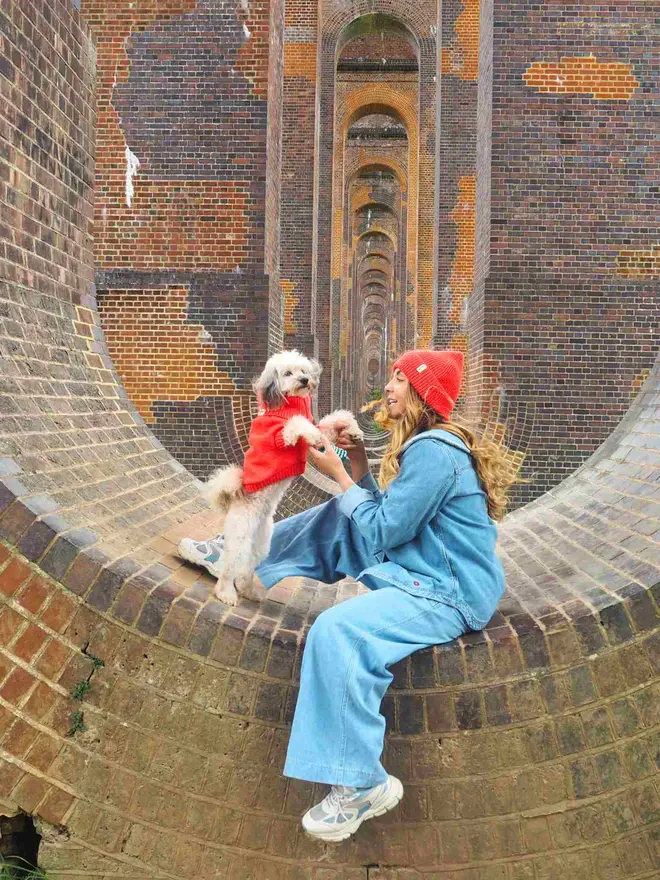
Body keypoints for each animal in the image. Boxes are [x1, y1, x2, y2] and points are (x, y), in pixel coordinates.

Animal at [205, 350, 360, 604]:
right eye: (287, 373)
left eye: (303, 371)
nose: (305, 380)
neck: (287, 403)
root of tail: (236, 495)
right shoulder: (282, 436)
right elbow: (297, 424)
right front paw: (314, 436)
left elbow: (334, 419)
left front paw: (353, 429)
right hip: (240, 536)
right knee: (230, 566)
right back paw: (226, 593)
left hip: (262, 542)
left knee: (247, 568)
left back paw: (249, 592)